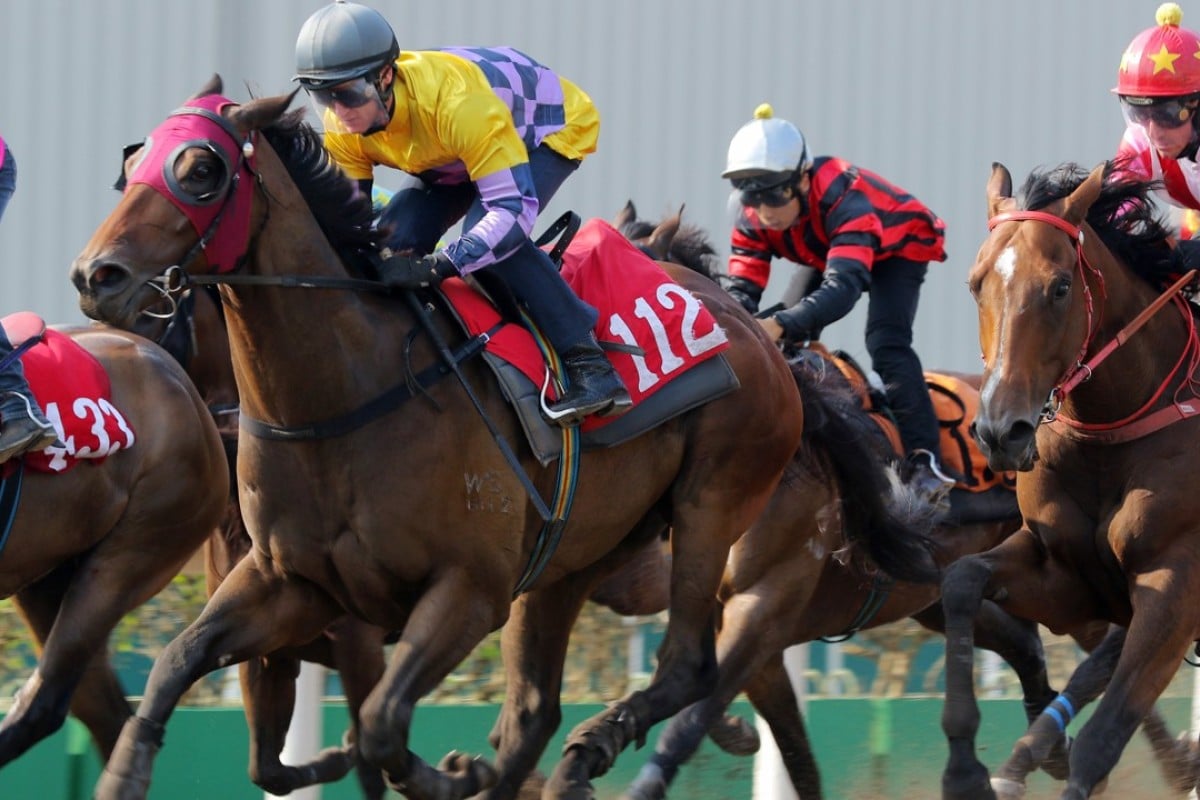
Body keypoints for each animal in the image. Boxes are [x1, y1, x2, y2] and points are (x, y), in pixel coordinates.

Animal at [65, 76, 835, 800]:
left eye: (201, 168)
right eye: (132, 165)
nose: (96, 275)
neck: (347, 394)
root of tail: (752, 328)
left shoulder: (465, 591)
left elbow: (379, 724)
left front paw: (450, 776)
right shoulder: (293, 584)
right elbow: (181, 664)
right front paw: (123, 774)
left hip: (715, 506)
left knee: (688, 666)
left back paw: (595, 748)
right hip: (573, 557)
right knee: (536, 709)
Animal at [940, 159, 1195, 796]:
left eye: (1059, 287)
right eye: (976, 284)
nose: (1000, 431)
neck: (1111, 432)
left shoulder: (1176, 586)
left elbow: (1106, 733)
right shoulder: (1066, 575)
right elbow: (961, 580)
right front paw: (965, 770)